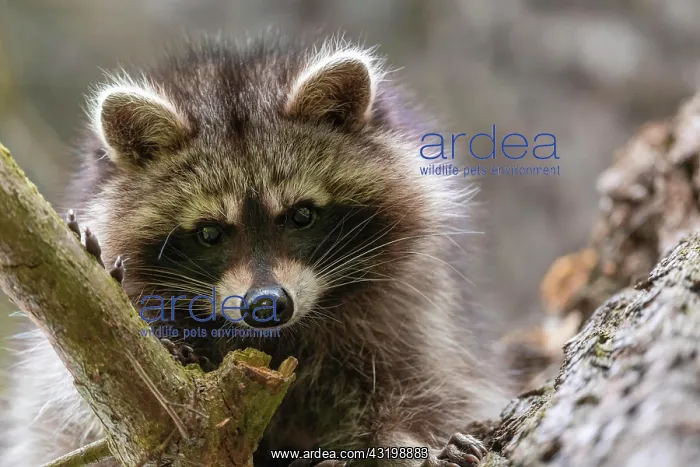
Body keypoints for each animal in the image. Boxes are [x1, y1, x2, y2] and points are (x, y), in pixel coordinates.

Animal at [0, 33, 508, 466]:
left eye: (301, 216)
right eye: (209, 233)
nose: (266, 305)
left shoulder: (406, 311)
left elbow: (421, 386)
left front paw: (410, 441)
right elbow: (79, 411)